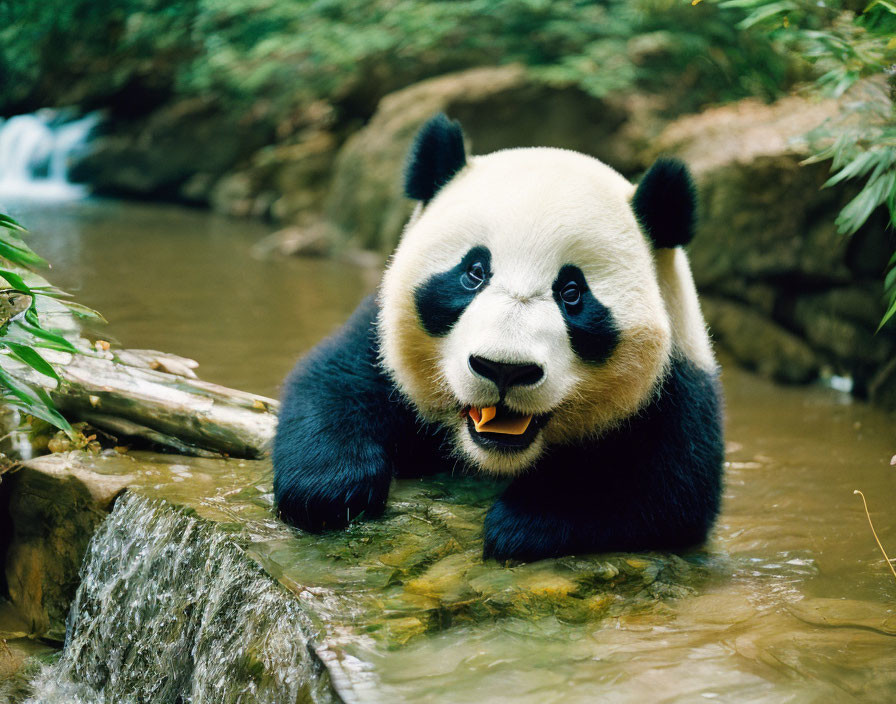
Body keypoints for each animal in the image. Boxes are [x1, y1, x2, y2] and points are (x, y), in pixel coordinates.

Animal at [272, 114, 720, 560]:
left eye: (572, 292)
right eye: (473, 272)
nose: (504, 370)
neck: (494, 456)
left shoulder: (677, 387)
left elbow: (665, 487)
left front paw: (523, 521)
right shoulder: (380, 339)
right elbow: (334, 383)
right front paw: (329, 490)